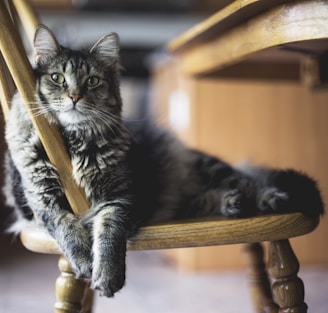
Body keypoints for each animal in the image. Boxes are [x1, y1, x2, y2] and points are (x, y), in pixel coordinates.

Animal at [2, 25, 324, 294]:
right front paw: (84, 262)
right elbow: (66, 228)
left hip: (211, 169)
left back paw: (269, 199)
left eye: (92, 81)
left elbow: (108, 236)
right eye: (57, 78)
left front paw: (107, 275)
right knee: (209, 196)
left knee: (249, 181)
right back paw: (231, 203)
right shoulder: (41, 199)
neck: (72, 142)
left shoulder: (119, 198)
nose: (74, 97)